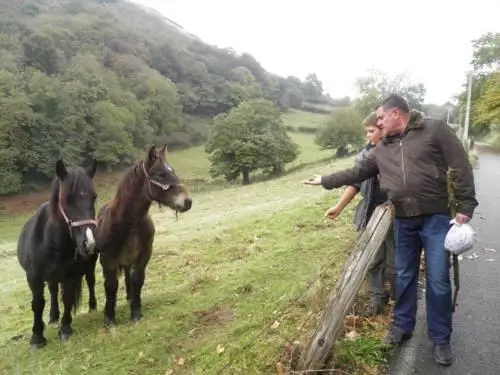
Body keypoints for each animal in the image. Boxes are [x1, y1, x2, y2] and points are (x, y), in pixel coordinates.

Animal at [17, 159, 98, 350]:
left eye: (94, 197)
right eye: (66, 199)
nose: (89, 243)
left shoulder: (70, 275)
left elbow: (67, 298)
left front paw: (65, 329)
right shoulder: (33, 277)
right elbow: (38, 304)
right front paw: (37, 337)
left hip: (88, 267)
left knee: (90, 281)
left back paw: (92, 306)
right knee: (53, 291)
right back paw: (53, 316)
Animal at [96, 145, 193, 328]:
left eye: (172, 170)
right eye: (161, 174)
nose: (187, 201)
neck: (129, 223)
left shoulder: (145, 253)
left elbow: (137, 279)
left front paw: (136, 312)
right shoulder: (108, 258)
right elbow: (111, 285)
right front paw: (109, 319)